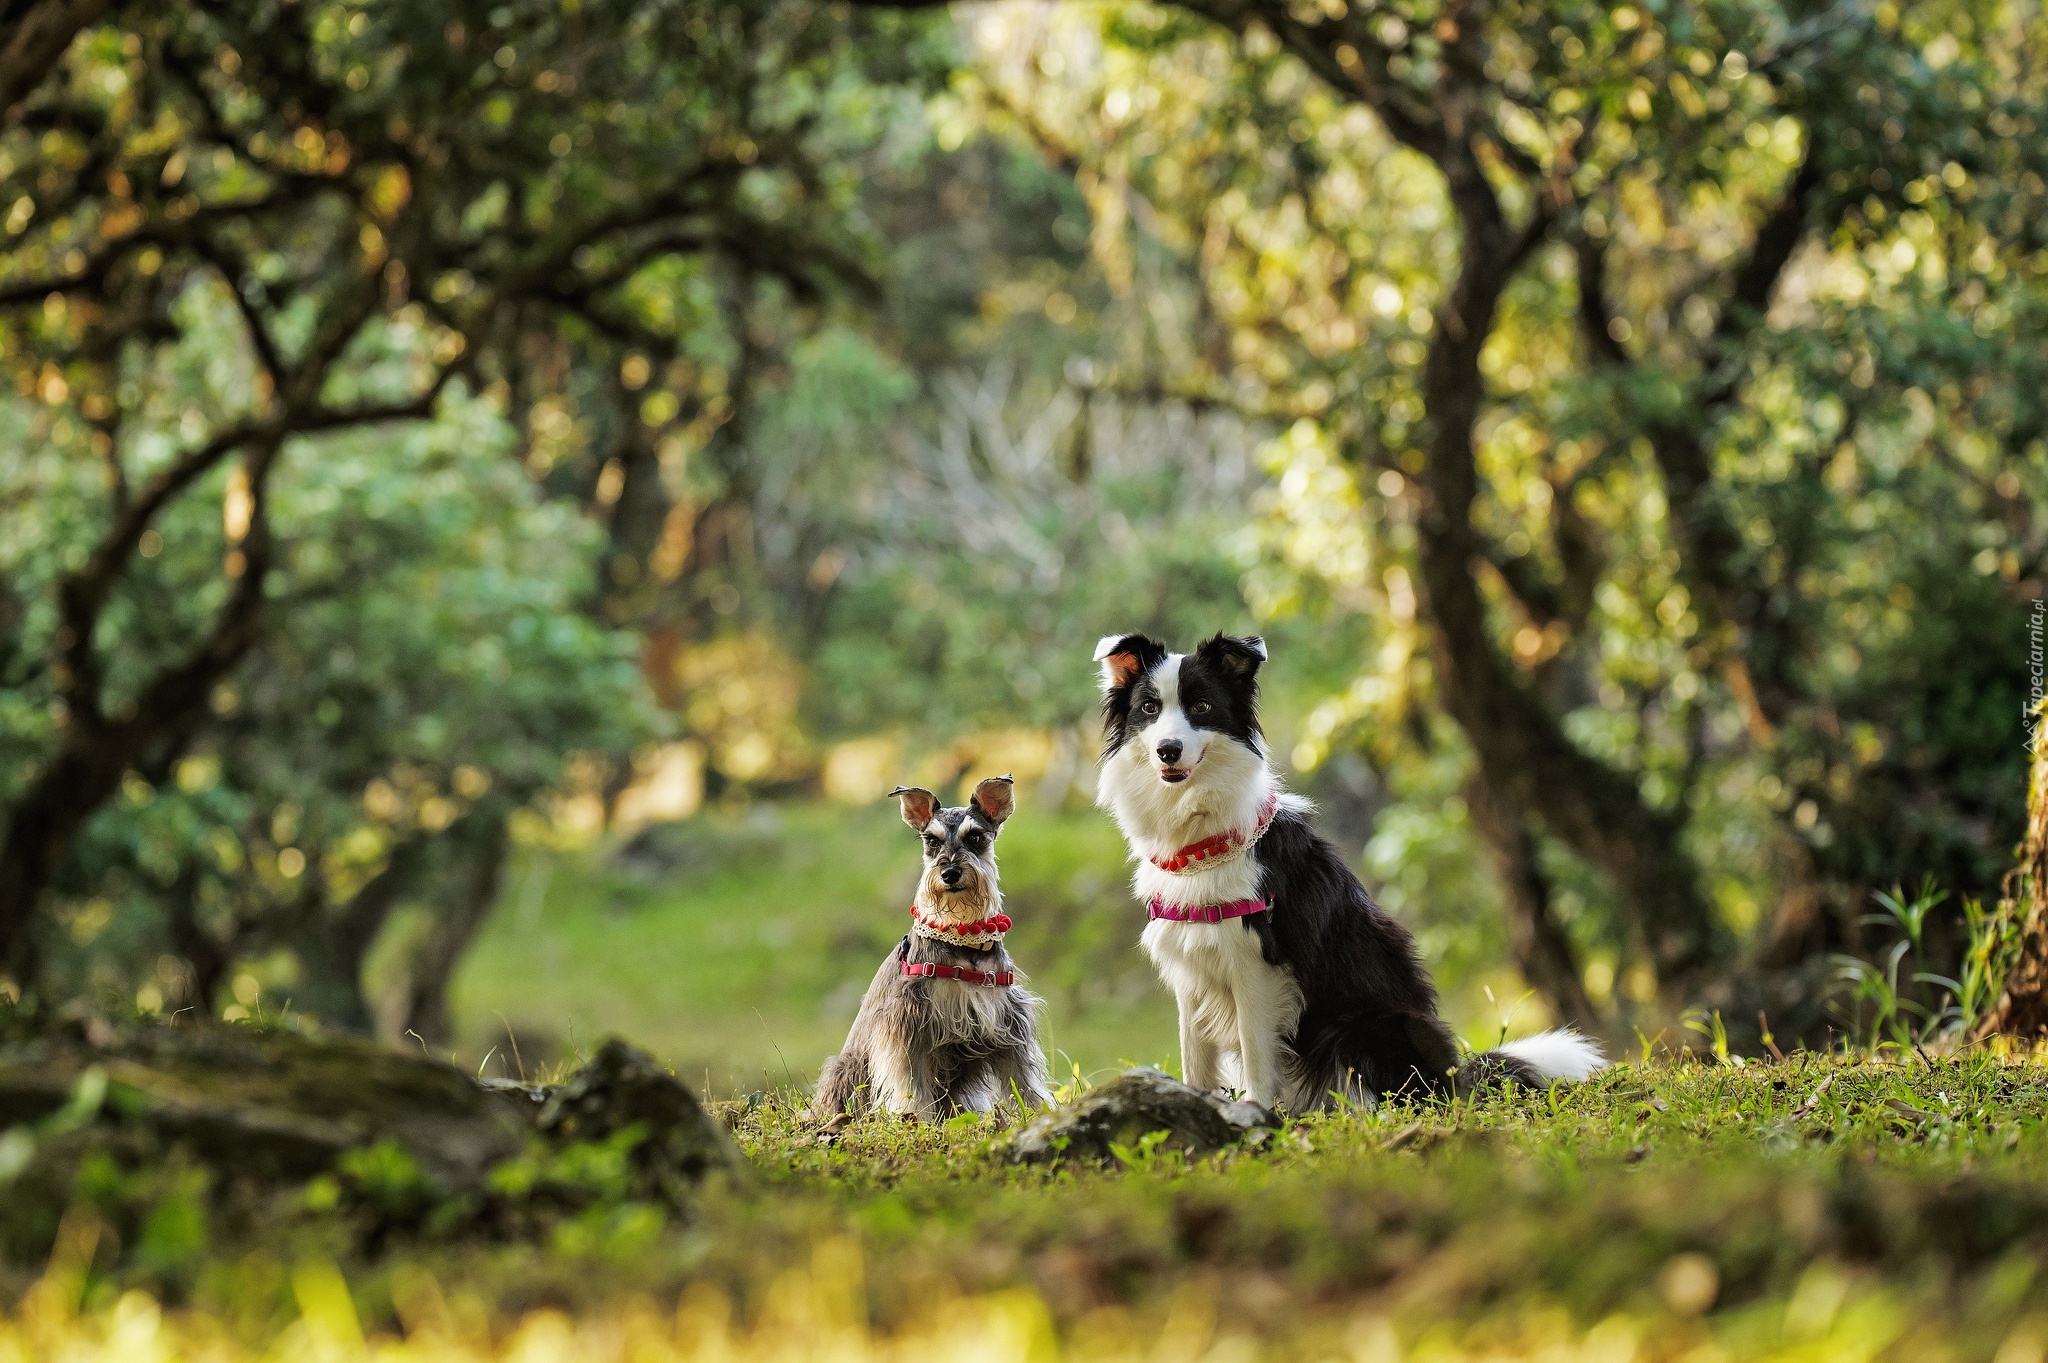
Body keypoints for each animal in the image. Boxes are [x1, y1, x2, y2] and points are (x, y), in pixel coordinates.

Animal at [811, 773, 1048, 1113]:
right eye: (931, 841)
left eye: (975, 837)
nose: (949, 872)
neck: (963, 936)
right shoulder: (908, 1024)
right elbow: (910, 1082)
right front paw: (914, 1116)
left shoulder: (1007, 1023)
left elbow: (1024, 1080)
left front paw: (1041, 1111)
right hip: (850, 1068)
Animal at [1089, 630, 1597, 1113]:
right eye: (1149, 709)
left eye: (1201, 706)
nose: (1168, 750)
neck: (1200, 839)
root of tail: (1460, 1079)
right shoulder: (1189, 966)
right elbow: (1195, 1056)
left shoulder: (1256, 964)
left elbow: (1256, 1054)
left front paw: (1256, 1111)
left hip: (1366, 1027)